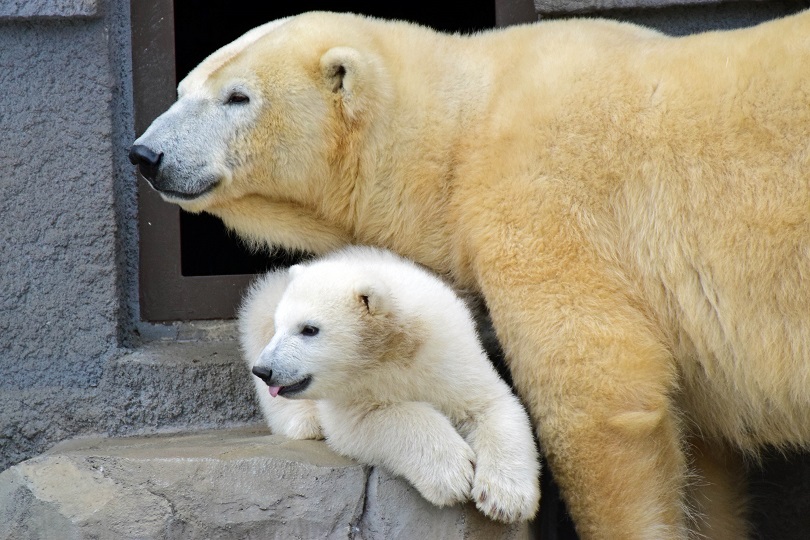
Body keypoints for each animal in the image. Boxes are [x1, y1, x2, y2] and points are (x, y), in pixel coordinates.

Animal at [129, 11, 808, 540]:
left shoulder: (541, 203)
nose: (145, 154)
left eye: (237, 97)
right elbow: (704, 456)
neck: (465, 124)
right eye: (184, 86)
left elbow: (600, 396)